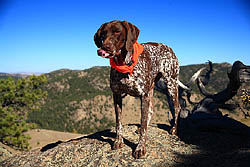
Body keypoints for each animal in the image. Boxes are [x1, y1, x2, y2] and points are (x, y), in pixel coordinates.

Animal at [94, 20, 182, 159]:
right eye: (103, 34)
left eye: (117, 31)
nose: (105, 47)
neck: (124, 64)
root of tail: (168, 47)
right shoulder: (116, 95)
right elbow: (119, 122)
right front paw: (118, 141)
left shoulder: (143, 95)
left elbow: (143, 122)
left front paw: (140, 148)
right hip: (151, 88)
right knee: (151, 111)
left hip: (171, 83)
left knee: (177, 107)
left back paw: (174, 129)